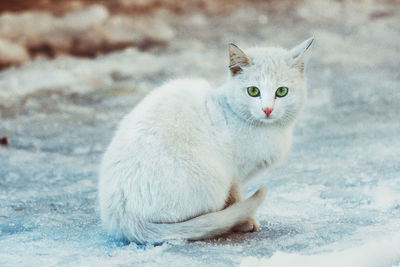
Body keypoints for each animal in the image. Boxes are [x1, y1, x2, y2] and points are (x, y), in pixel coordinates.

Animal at [98, 37, 314, 245]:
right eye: (253, 91)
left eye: (282, 91)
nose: (267, 109)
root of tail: (123, 218)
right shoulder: (233, 175)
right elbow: (236, 199)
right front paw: (244, 220)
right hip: (212, 181)